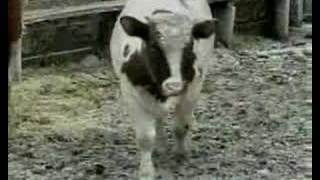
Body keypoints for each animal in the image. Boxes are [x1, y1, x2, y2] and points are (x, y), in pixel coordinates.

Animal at [110, 0, 218, 179]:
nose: (173, 85)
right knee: (158, 119)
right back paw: (160, 146)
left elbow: (181, 126)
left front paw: (181, 152)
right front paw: (146, 171)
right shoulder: (131, 93)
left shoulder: (193, 88)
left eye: (189, 47)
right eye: (154, 46)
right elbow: (145, 137)